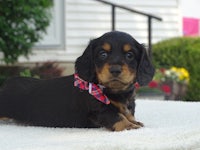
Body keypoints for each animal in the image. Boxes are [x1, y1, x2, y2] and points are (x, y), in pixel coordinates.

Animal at [0, 31, 155, 131]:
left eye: (130, 55)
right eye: (102, 54)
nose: (115, 69)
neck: (116, 92)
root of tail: (6, 84)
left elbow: (127, 113)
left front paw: (134, 121)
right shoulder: (98, 110)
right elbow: (117, 116)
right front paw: (130, 126)